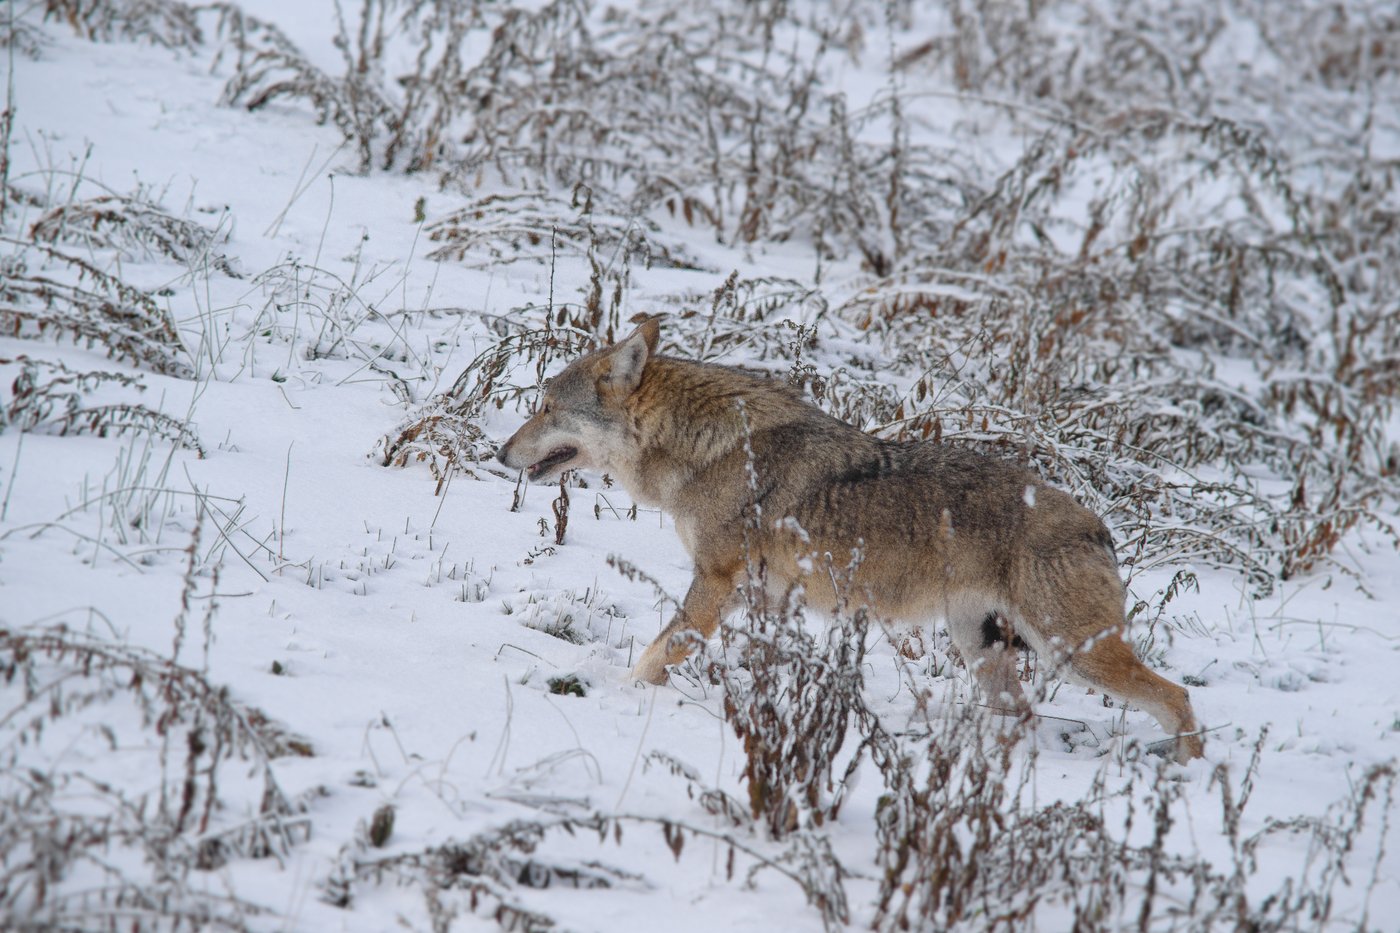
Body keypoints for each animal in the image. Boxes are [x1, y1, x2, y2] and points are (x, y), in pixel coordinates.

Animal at [497, 318, 1205, 762]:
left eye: (545, 408)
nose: (499, 452)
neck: (704, 451)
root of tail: (1100, 527)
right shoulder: (761, 596)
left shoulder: (715, 582)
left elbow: (656, 653)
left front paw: (622, 693)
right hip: (985, 652)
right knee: (1026, 716)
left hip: (1073, 655)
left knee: (1177, 697)